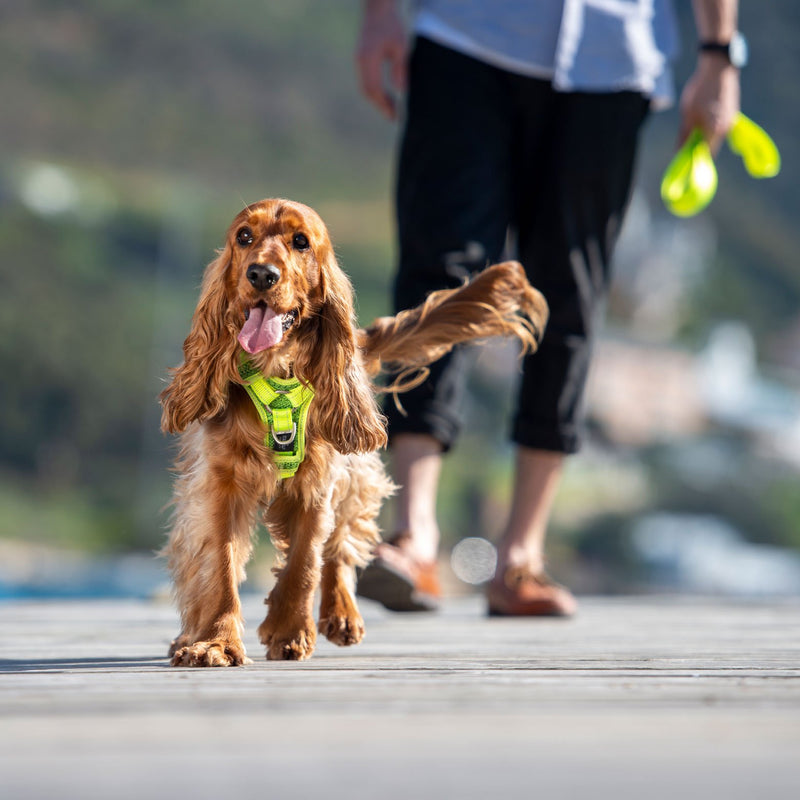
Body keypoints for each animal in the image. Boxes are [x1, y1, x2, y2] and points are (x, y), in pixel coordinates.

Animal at [162, 197, 552, 664]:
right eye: (244, 236)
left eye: (300, 241)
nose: (261, 274)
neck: (276, 374)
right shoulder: (220, 483)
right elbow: (219, 565)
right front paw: (217, 642)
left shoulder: (318, 483)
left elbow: (306, 561)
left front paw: (289, 631)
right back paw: (189, 634)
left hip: (354, 474)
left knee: (340, 546)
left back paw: (342, 613)